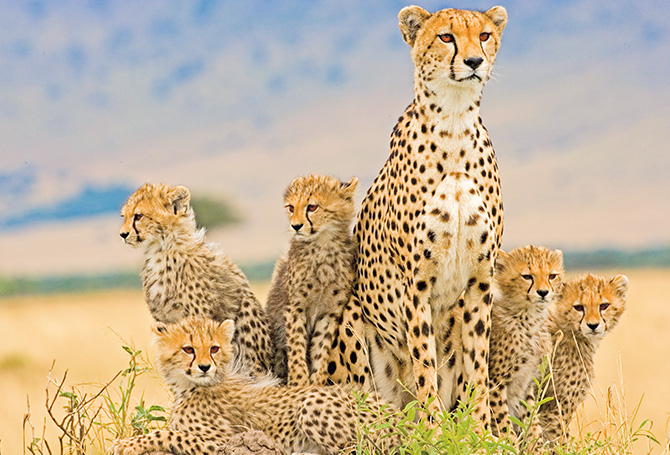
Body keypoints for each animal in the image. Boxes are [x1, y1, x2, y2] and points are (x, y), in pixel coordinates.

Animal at [354, 5, 506, 424]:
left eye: (484, 35)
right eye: (446, 37)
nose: (474, 62)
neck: (454, 121)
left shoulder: (481, 281)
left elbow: (477, 364)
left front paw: (481, 429)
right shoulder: (416, 284)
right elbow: (423, 362)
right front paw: (433, 428)